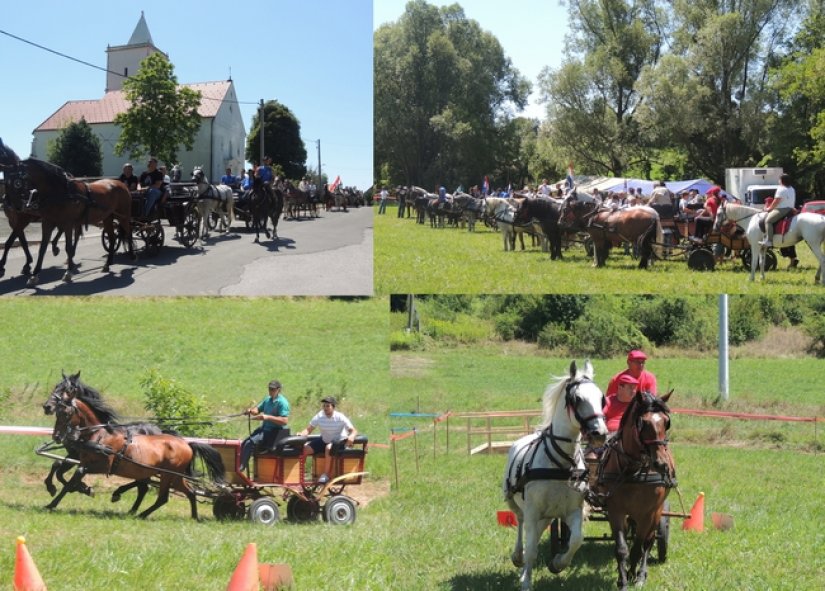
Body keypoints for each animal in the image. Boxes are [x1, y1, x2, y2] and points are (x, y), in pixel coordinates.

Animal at [4, 157, 134, 286]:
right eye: (6, 182)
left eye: (17, 183)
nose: (14, 207)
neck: (60, 191)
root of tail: (121, 184)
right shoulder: (47, 222)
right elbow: (42, 248)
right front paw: (34, 275)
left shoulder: (68, 223)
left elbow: (68, 247)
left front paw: (68, 272)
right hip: (107, 217)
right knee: (112, 238)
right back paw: (107, 263)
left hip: (124, 216)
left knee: (128, 233)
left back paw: (132, 255)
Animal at [51, 390, 225, 520]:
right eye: (57, 413)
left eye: (65, 413)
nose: (57, 436)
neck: (99, 435)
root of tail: (187, 444)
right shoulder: (83, 461)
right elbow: (65, 474)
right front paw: (82, 489)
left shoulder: (102, 466)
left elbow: (73, 478)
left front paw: (52, 503)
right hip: (173, 476)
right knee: (188, 492)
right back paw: (194, 517)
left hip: (167, 475)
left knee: (161, 497)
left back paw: (140, 513)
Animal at [498, 360, 608, 591]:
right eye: (577, 398)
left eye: (601, 398)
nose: (600, 433)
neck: (561, 465)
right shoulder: (533, 510)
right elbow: (531, 548)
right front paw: (526, 582)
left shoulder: (572, 510)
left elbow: (576, 540)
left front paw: (557, 563)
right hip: (516, 503)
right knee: (521, 525)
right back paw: (518, 557)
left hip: (547, 516)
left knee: (536, 533)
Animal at [600, 394, 676, 591]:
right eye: (643, 422)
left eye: (666, 422)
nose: (661, 464)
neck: (632, 471)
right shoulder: (616, 511)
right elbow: (622, 548)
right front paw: (622, 580)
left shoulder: (647, 514)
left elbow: (637, 547)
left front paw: (633, 575)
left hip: (657, 512)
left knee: (649, 541)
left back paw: (642, 573)